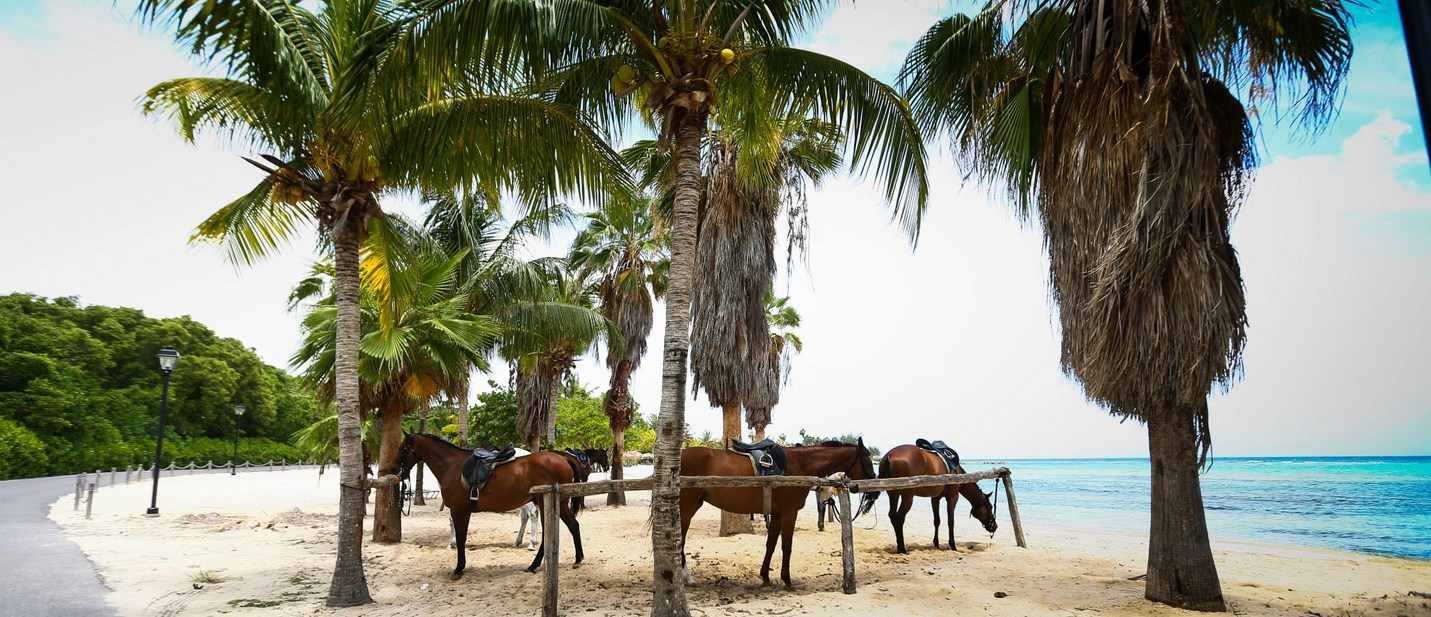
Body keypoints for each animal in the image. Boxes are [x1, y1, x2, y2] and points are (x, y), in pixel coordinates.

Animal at [394, 435, 583, 578]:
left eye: (403, 448)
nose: (395, 468)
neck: (451, 466)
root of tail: (564, 458)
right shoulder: (463, 511)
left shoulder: (458, 510)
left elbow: (461, 538)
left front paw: (458, 568)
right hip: (559, 503)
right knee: (573, 526)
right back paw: (577, 559)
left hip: (546, 503)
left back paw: (534, 563)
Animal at [678, 440, 875, 589]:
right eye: (867, 460)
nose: (872, 491)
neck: (801, 464)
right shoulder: (789, 513)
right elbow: (786, 546)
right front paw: (787, 580)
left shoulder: (777, 514)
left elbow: (771, 545)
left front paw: (765, 576)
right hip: (685, 510)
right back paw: (686, 577)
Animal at [852, 443, 1001, 555]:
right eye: (990, 507)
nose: (994, 526)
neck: (958, 473)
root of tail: (889, 455)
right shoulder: (953, 497)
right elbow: (950, 521)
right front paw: (952, 545)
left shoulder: (935, 498)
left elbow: (937, 520)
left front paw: (936, 543)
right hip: (907, 495)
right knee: (900, 517)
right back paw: (902, 548)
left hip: (893, 494)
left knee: (892, 515)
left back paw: (899, 545)